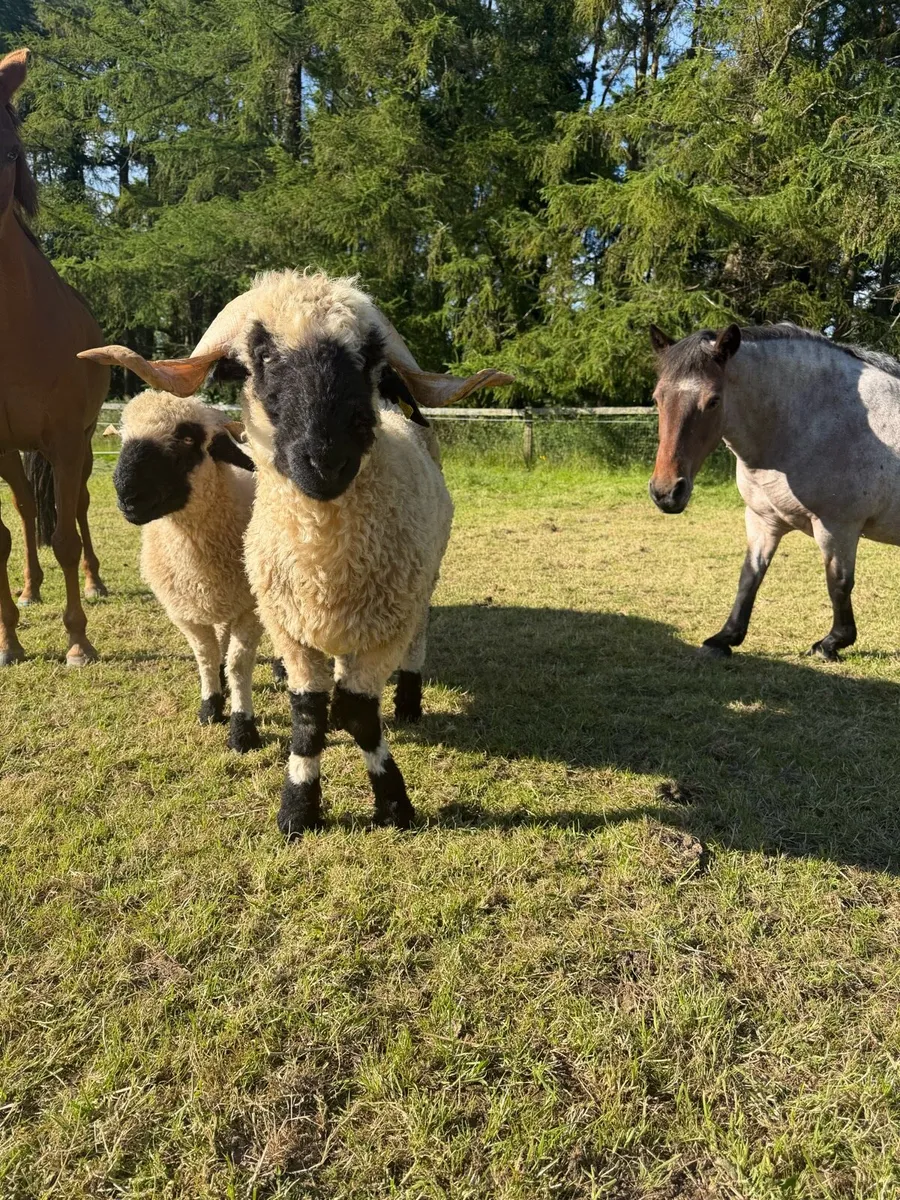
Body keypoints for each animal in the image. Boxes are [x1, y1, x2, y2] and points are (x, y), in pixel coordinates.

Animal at [111, 389, 263, 753]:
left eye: (188, 438)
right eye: (124, 437)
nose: (127, 497)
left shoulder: (251, 608)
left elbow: (240, 663)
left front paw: (242, 729)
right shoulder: (184, 611)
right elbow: (205, 655)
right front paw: (211, 706)